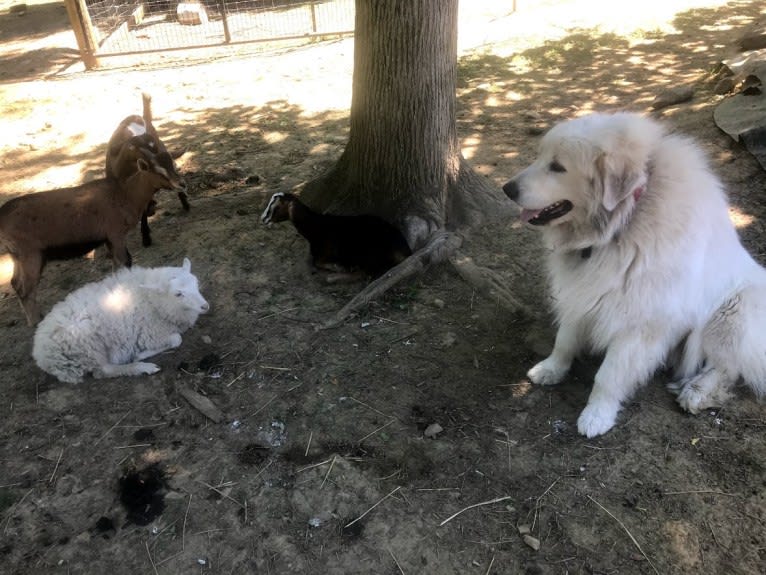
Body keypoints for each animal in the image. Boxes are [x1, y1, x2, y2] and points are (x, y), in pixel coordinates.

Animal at [0, 141, 186, 326]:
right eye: (157, 170)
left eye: (172, 164)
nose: (181, 184)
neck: (124, 194)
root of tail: (3, 217)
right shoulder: (116, 235)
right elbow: (125, 261)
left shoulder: (108, 239)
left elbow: (116, 265)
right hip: (31, 256)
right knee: (26, 289)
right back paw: (36, 322)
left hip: (18, 257)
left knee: (16, 284)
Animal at [32, 256, 208, 382]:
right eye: (178, 294)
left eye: (196, 283)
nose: (205, 306)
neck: (151, 299)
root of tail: (42, 355)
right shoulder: (150, 335)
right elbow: (177, 339)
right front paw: (141, 354)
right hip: (89, 344)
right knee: (103, 371)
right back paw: (141, 367)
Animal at [262, 194, 414, 280]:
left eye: (275, 207)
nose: (263, 219)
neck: (315, 226)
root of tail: (404, 250)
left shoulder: (325, 251)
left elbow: (317, 262)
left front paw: (337, 267)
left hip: (367, 254)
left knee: (370, 272)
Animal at [504, 111, 766, 436]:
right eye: (540, 156)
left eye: (558, 167)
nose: (507, 189)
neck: (622, 224)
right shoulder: (581, 292)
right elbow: (565, 339)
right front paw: (552, 368)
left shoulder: (639, 324)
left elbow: (609, 375)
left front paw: (597, 415)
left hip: (733, 313)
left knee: (728, 367)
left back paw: (696, 391)